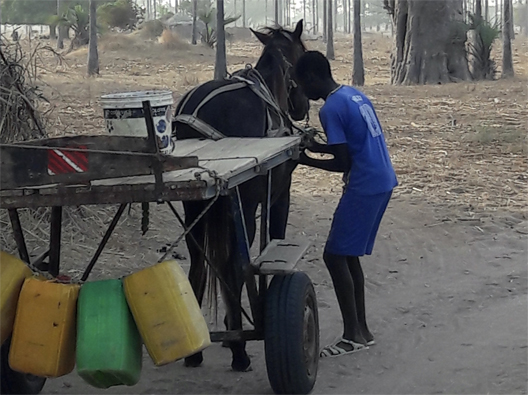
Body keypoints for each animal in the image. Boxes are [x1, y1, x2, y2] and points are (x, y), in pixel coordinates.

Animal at [172, 20, 310, 372]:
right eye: (303, 55)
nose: (302, 106)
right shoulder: (279, 197)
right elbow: (272, 242)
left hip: (195, 206)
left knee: (199, 261)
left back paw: (197, 350)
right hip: (242, 206)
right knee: (234, 263)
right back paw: (239, 350)